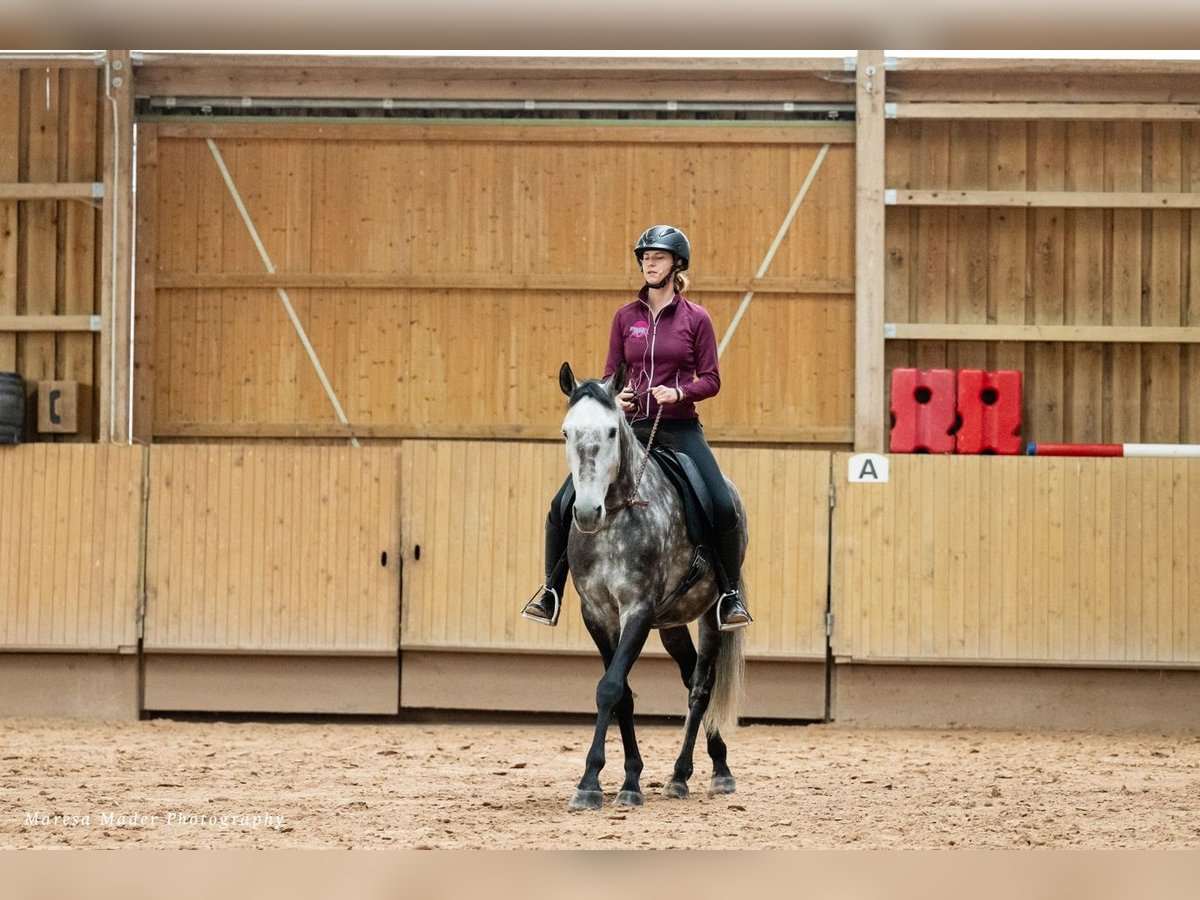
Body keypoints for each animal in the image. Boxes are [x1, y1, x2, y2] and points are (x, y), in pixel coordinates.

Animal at [554, 362, 744, 816]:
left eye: (610, 431)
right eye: (567, 432)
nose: (587, 512)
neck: (617, 516)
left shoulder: (637, 609)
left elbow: (609, 688)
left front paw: (589, 784)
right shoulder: (597, 615)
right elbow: (620, 691)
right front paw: (630, 779)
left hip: (712, 615)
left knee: (702, 687)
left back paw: (696, 774)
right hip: (672, 624)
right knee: (690, 677)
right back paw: (698, 770)